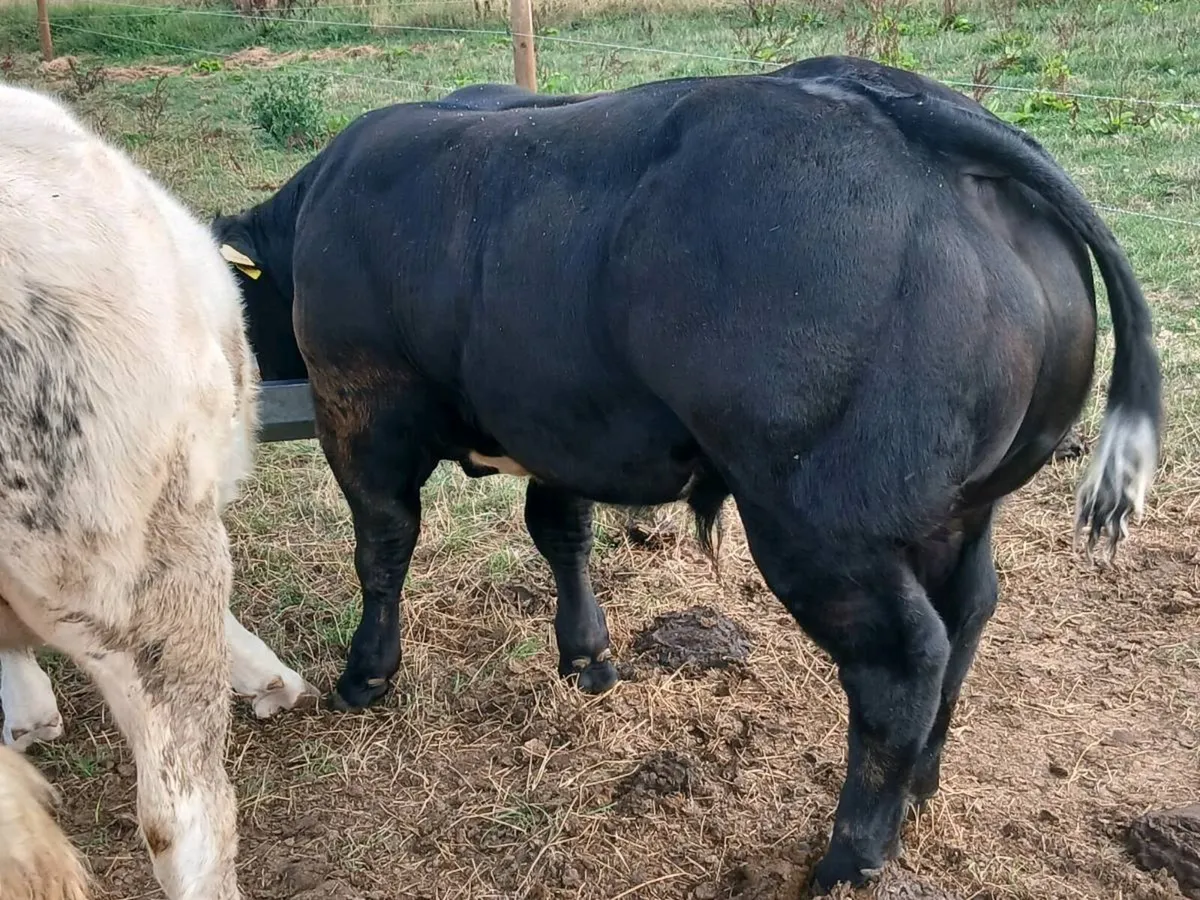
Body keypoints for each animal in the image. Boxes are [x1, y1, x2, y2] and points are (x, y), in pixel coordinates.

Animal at [210, 55, 1162, 891]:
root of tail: (897, 102)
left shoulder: (357, 405)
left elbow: (384, 545)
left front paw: (366, 673)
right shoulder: (560, 418)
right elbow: (561, 533)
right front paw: (587, 657)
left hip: (817, 523)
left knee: (902, 661)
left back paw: (851, 855)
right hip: (960, 510)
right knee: (967, 614)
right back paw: (918, 790)